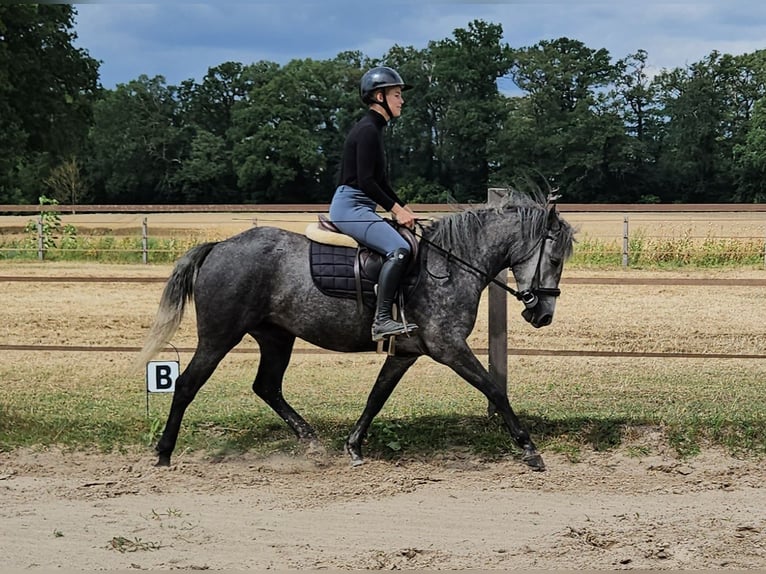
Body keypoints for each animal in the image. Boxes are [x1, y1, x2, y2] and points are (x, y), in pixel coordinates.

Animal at [137, 190, 575, 471]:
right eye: (554, 258)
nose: (543, 315)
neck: (451, 264)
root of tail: (219, 246)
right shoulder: (448, 347)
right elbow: (494, 389)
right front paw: (529, 449)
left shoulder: (406, 352)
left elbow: (376, 396)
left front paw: (353, 447)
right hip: (219, 337)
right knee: (187, 384)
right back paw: (163, 453)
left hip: (276, 337)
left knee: (267, 387)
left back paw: (313, 444)